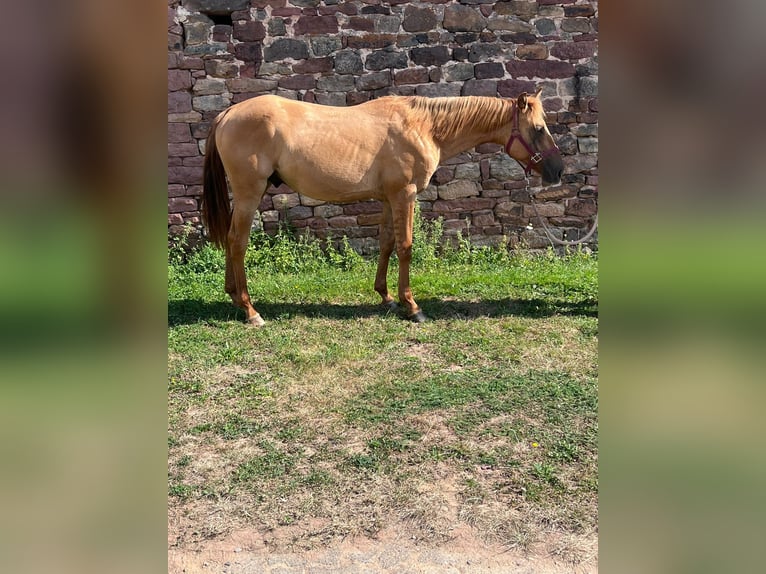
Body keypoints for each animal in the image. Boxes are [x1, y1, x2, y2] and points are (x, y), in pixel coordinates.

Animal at [204, 88, 564, 326]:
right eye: (538, 129)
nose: (558, 171)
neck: (424, 126)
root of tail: (226, 114)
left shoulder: (389, 198)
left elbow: (387, 244)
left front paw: (386, 297)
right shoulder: (405, 194)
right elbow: (405, 247)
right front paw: (412, 306)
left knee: (231, 241)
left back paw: (234, 296)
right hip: (249, 193)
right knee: (237, 242)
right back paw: (251, 311)